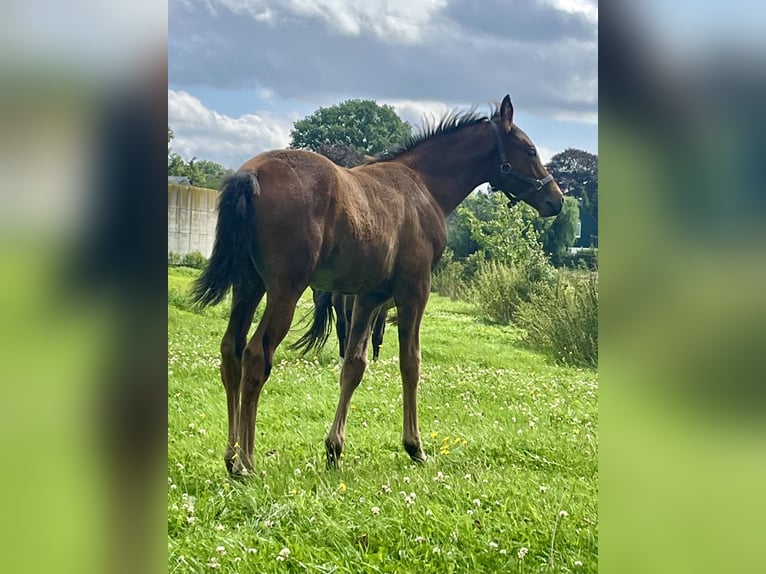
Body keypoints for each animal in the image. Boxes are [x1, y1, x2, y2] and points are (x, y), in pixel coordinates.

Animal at [192, 97, 564, 480]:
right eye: (530, 150)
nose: (557, 200)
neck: (423, 186)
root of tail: (250, 174)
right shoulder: (414, 291)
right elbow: (411, 362)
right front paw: (415, 447)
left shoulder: (369, 297)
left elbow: (353, 365)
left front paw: (334, 449)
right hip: (285, 291)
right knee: (256, 356)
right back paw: (246, 463)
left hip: (248, 285)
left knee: (231, 351)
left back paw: (230, 456)